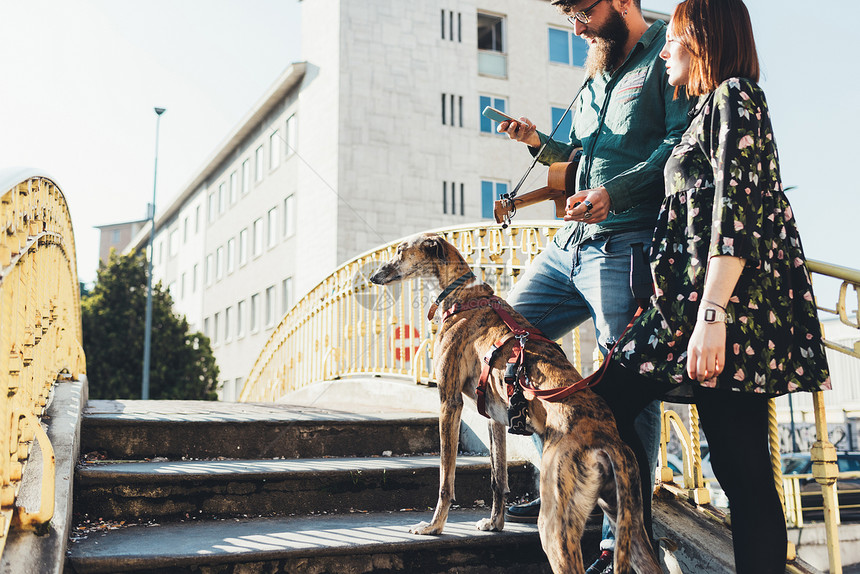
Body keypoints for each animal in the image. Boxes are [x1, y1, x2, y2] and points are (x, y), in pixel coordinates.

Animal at [370, 234, 660, 574]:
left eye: (401, 251)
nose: (372, 277)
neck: (462, 295)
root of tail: (604, 441)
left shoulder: (449, 402)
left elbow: (445, 477)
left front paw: (433, 527)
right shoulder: (495, 417)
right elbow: (498, 478)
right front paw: (495, 524)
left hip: (555, 525)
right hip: (629, 523)